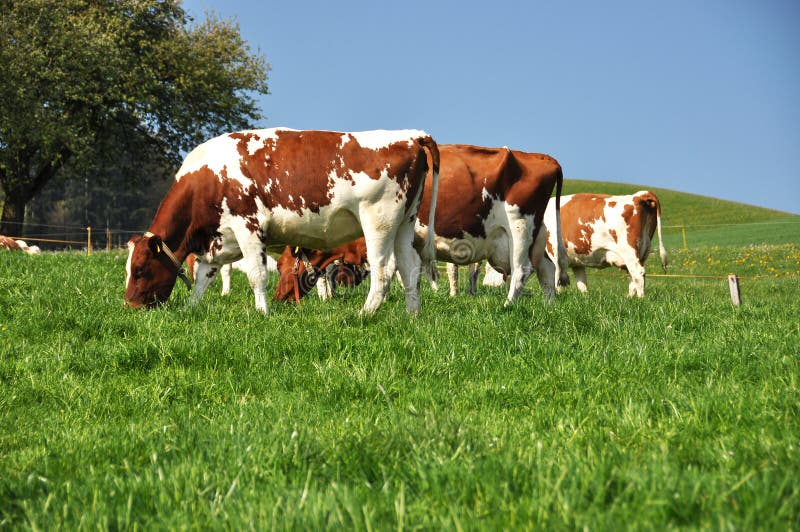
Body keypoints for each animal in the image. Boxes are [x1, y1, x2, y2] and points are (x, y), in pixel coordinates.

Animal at [126, 127, 440, 314]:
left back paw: (363, 315)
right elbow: (204, 276)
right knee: (409, 268)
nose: (129, 305)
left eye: (140, 269)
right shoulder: (220, 238)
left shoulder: (248, 226)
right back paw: (412, 317)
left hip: (379, 220)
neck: (210, 177)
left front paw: (262, 313)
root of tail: (411, 135)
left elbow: (256, 275)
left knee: (384, 270)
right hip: (405, 222)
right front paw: (190, 309)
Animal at [276, 143, 568, 306]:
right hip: (535, 233)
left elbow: (398, 270)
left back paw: (508, 305)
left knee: (522, 270)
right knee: (546, 268)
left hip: (520, 226)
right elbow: (411, 272)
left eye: (280, 265)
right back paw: (549, 306)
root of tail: (544, 158)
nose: (279, 298)